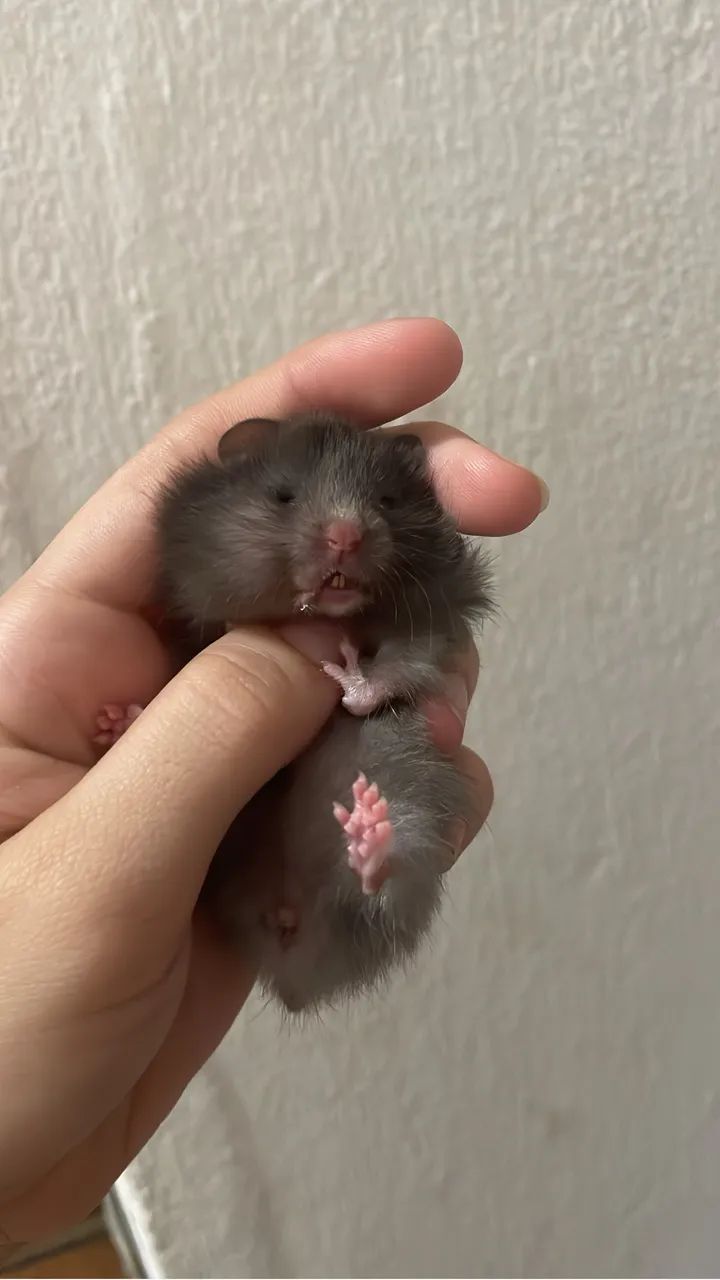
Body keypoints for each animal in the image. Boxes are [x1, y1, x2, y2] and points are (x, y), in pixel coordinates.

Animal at [153, 412, 494, 1013]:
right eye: (283, 496)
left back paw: (368, 833)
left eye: (387, 500)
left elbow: (394, 673)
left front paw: (347, 674)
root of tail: (290, 951)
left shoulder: (433, 621)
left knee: (381, 889)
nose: (345, 535)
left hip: (415, 828)